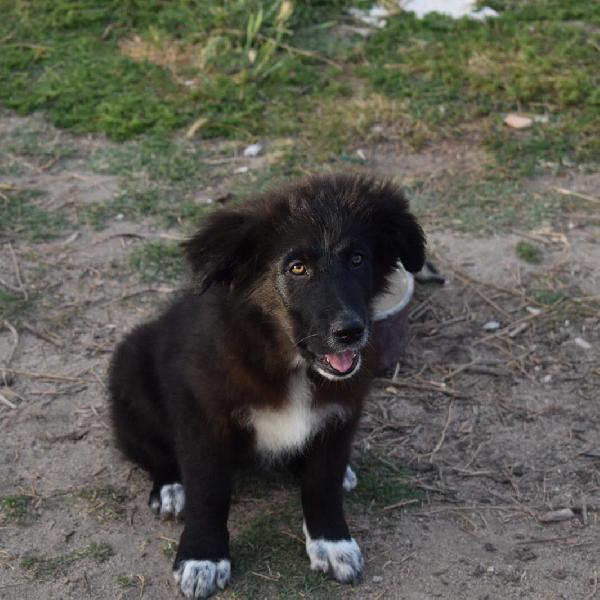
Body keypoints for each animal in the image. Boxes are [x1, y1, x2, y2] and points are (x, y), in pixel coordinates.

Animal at [109, 172, 426, 596]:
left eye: (358, 259)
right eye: (297, 268)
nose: (350, 332)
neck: (288, 361)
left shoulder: (341, 412)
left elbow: (322, 482)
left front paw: (332, 542)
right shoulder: (202, 416)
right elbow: (208, 491)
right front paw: (203, 557)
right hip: (128, 369)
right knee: (151, 450)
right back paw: (171, 486)